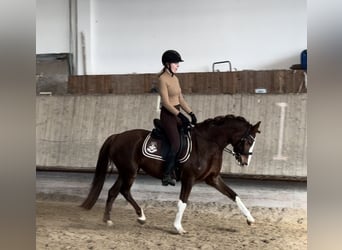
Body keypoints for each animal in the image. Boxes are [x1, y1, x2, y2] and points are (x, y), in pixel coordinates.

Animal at [81, 114, 262, 233]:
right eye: (248, 140)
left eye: (253, 141)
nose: (245, 162)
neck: (208, 144)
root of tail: (117, 136)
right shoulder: (189, 178)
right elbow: (183, 202)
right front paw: (178, 227)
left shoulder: (213, 179)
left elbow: (234, 195)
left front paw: (250, 219)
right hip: (130, 172)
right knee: (124, 191)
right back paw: (141, 217)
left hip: (125, 172)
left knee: (114, 191)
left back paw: (108, 220)